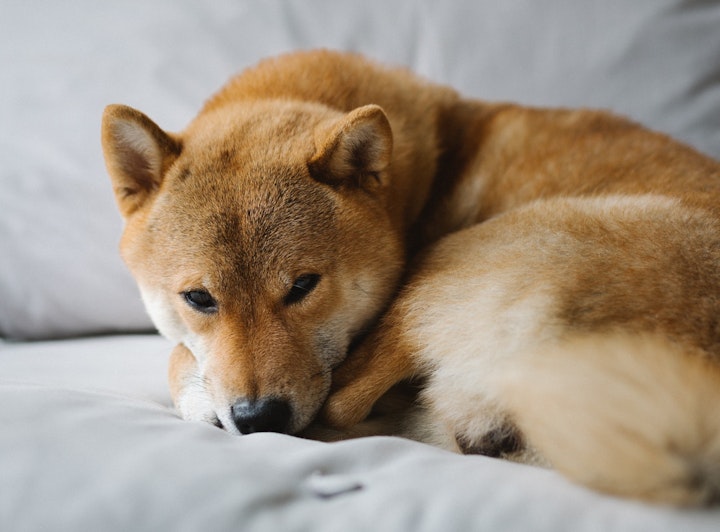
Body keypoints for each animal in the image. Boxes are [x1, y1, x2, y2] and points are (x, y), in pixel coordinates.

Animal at [102, 48, 720, 502]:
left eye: (302, 287)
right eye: (198, 298)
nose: (259, 418)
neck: (420, 182)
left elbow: (179, 356)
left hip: (446, 268)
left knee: (343, 403)